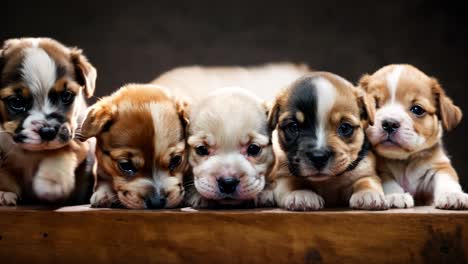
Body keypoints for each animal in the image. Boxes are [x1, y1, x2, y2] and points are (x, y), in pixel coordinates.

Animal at [0, 37, 96, 206]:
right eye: (16, 102)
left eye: (66, 95)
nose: (48, 131)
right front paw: (5, 191)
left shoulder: (76, 137)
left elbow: (61, 149)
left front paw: (52, 181)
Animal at [268, 71, 386, 210]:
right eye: (293, 127)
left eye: (345, 128)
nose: (318, 157)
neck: (327, 182)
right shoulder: (282, 175)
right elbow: (292, 182)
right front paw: (302, 192)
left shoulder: (365, 170)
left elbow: (366, 180)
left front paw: (368, 193)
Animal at [358, 63, 464, 208]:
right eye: (373, 105)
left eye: (417, 109)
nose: (390, 123)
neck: (404, 161)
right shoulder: (379, 170)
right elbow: (387, 179)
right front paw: (396, 195)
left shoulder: (439, 166)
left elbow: (446, 178)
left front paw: (452, 194)